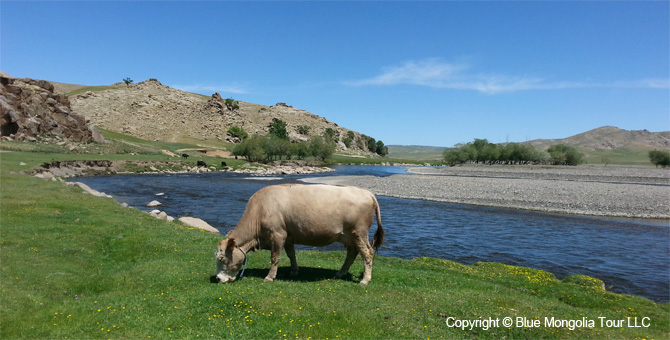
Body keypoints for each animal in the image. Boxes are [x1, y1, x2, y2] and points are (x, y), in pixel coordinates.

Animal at [215, 183, 384, 284]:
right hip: (348, 236)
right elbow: (291, 254)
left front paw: (270, 277)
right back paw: (340, 273)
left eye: (222, 258)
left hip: (359, 233)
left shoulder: (277, 234)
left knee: (367, 253)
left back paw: (365, 280)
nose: (217, 278)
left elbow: (275, 257)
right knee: (352, 253)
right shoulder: (288, 236)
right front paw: (294, 271)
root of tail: (367, 193)